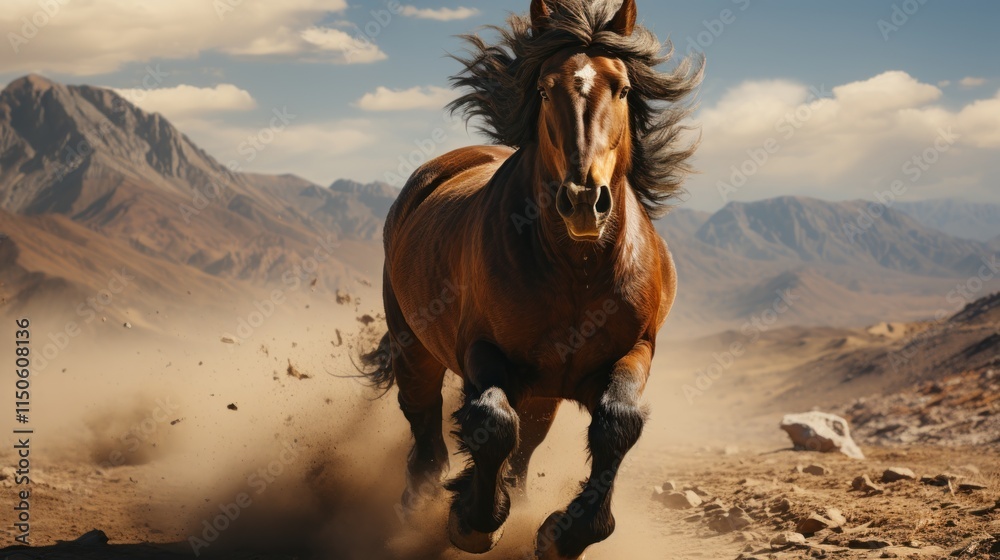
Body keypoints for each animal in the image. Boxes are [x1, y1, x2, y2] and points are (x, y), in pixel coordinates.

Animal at [362, 0, 701, 558]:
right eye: (544, 89)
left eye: (622, 88)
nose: (583, 200)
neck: (577, 271)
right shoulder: (482, 350)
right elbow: (493, 425)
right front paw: (474, 520)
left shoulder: (634, 350)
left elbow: (618, 425)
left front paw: (566, 532)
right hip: (415, 348)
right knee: (426, 429)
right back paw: (417, 507)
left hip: (543, 391)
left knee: (526, 444)